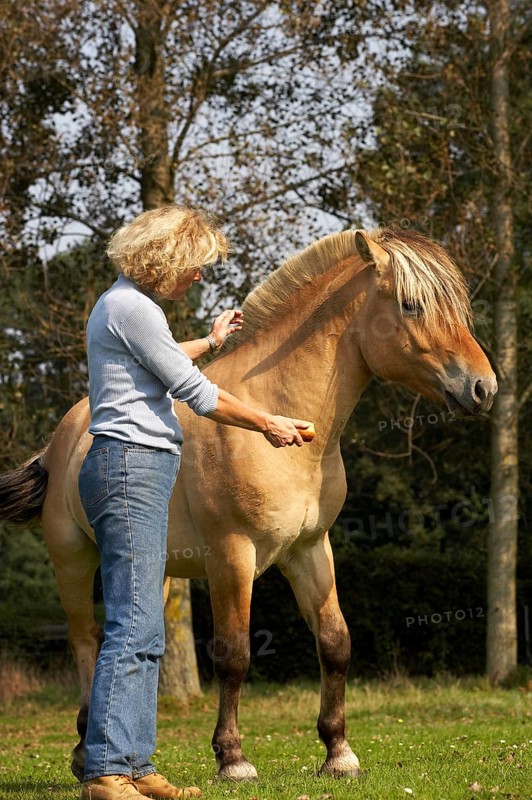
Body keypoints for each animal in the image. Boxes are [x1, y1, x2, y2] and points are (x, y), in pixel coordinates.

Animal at [0, 227, 497, 783]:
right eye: (412, 305)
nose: (483, 387)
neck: (277, 414)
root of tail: (60, 441)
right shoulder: (232, 557)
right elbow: (234, 654)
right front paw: (233, 759)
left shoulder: (310, 550)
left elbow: (335, 642)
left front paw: (338, 753)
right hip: (73, 561)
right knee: (86, 640)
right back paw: (87, 751)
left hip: (152, 569)